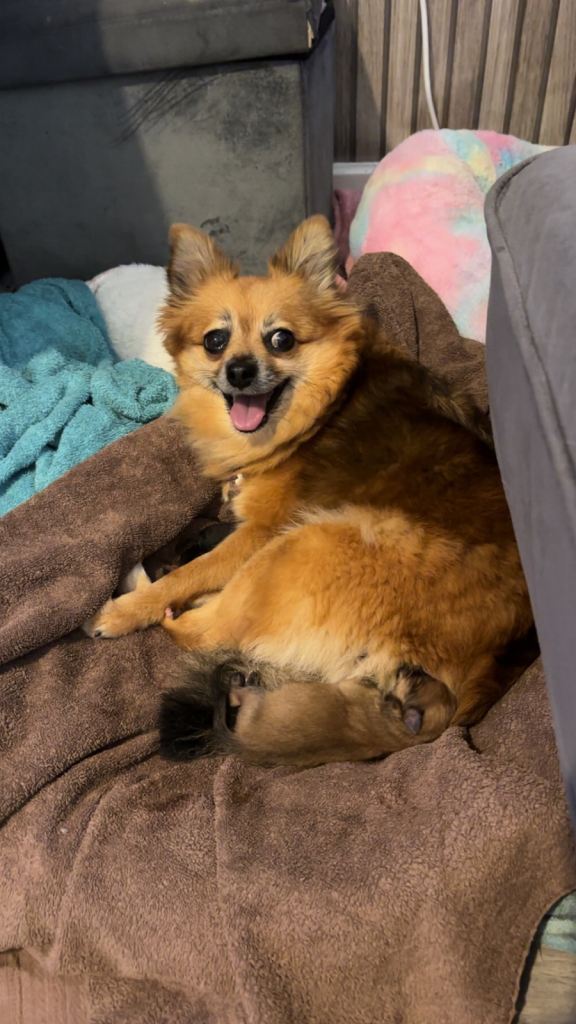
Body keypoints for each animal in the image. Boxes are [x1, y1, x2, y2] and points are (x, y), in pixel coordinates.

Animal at [86, 215, 533, 766]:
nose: (239, 370)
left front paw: (125, 610)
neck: (316, 414)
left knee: (201, 631)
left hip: (304, 544)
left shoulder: (255, 536)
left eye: (281, 340)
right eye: (215, 341)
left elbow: (189, 573)